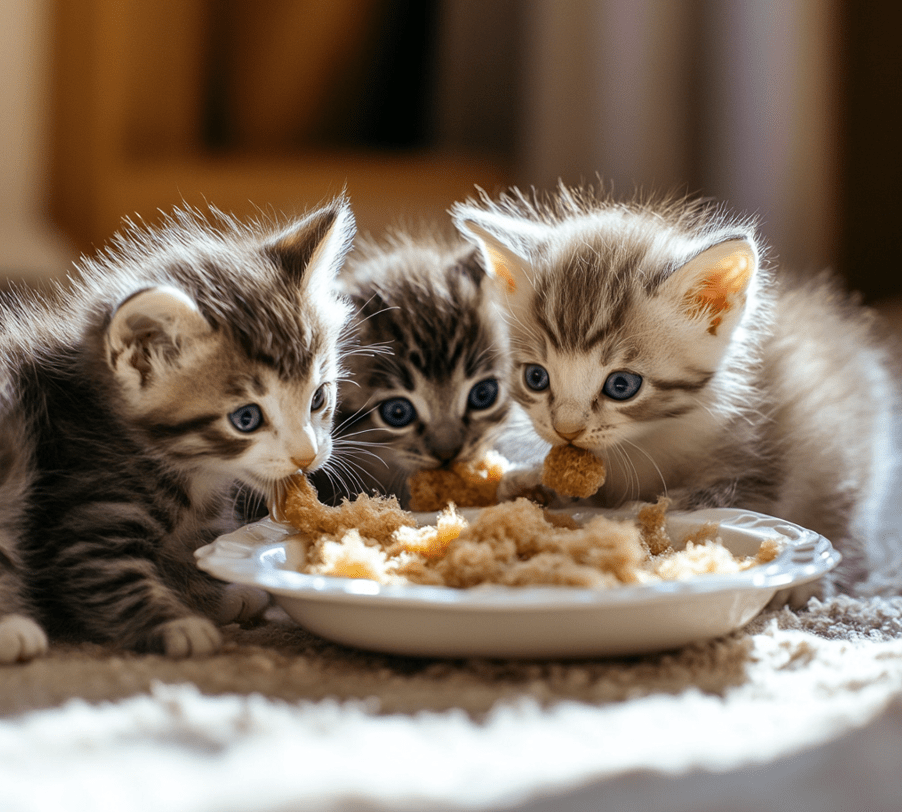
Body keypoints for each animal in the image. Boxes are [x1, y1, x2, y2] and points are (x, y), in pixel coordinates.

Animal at [0, 200, 354, 664]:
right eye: (246, 418)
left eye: (318, 398)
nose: (307, 455)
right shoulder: (85, 511)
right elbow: (107, 578)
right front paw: (177, 624)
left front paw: (217, 595)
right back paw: (12, 628)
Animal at [456, 187, 900, 600]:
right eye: (536, 377)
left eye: (621, 385)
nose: (566, 430)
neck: (645, 438)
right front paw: (526, 482)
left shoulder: (762, 457)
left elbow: (713, 496)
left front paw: (635, 510)